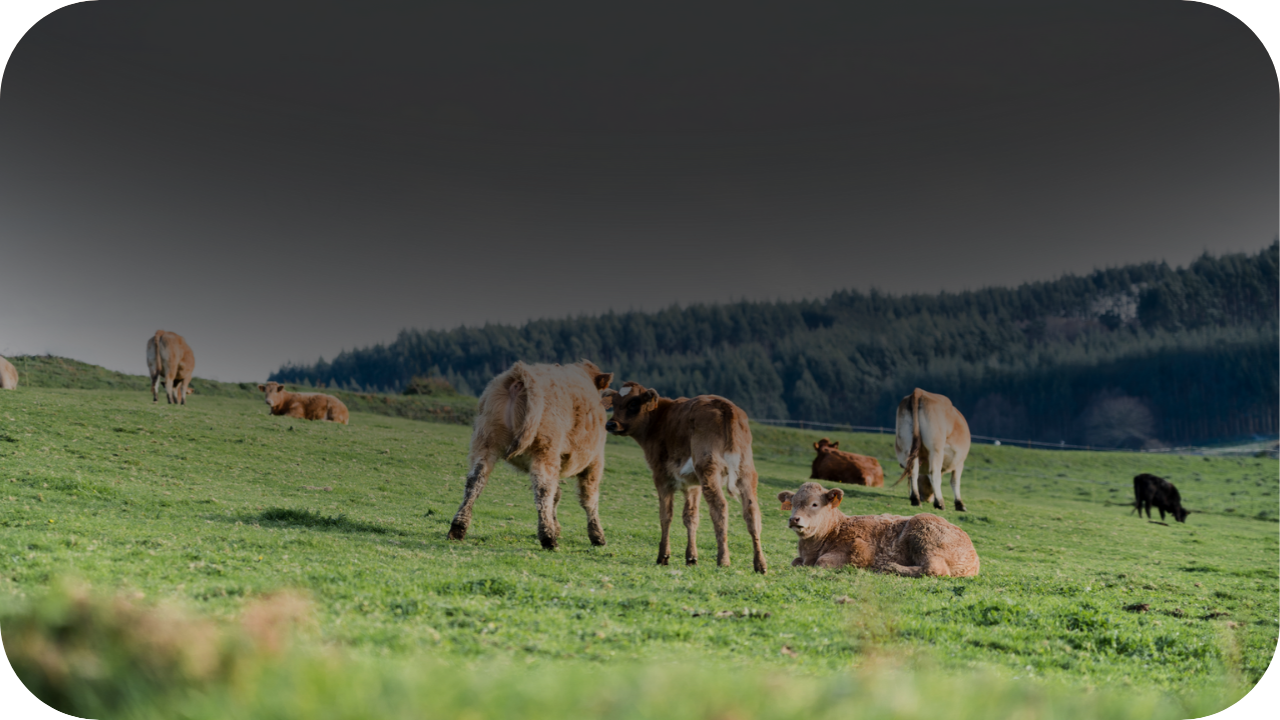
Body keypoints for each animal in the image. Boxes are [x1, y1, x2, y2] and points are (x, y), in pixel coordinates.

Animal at [448, 360, 614, 551]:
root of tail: (521, 373)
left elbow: (557, 495)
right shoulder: (595, 461)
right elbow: (589, 499)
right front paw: (597, 536)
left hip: (485, 442)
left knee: (474, 481)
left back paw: (457, 529)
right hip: (545, 450)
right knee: (543, 489)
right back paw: (549, 539)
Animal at [601, 381, 768, 574]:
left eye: (633, 403)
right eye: (614, 402)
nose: (611, 424)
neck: (659, 420)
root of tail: (725, 405)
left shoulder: (662, 477)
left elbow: (666, 515)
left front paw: (663, 556)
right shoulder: (692, 485)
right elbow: (691, 517)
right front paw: (691, 558)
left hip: (709, 469)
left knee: (719, 507)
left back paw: (723, 559)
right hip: (746, 471)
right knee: (752, 511)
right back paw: (760, 563)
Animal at [778, 482, 980, 577]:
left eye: (814, 504)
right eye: (793, 504)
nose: (794, 519)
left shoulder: (859, 551)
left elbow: (823, 562)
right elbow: (794, 562)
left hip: (925, 534)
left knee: (934, 569)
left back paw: (889, 567)